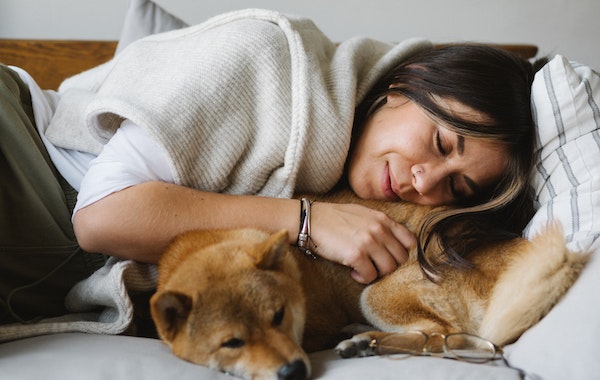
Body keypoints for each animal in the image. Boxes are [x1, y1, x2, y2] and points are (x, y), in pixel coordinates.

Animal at [149, 191, 584, 378]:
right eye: (232, 342)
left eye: (279, 317)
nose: (293, 372)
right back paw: (362, 340)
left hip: (376, 294)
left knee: (442, 336)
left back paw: (366, 341)